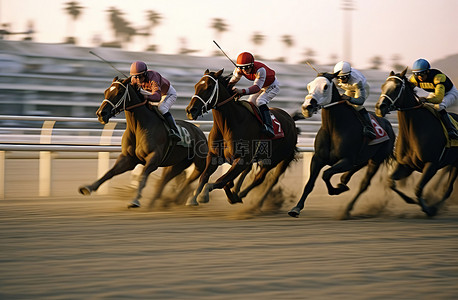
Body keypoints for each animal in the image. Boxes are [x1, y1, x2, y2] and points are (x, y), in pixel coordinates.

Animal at [78, 77, 208, 209]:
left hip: (199, 162)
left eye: (119, 92)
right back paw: (160, 203)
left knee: (193, 177)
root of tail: (199, 131)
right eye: (106, 91)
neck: (139, 126)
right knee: (164, 180)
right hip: (177, 163)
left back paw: (187, 199)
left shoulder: (153, 158)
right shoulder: (128, 158)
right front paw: (88, 188)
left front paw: (135, 200)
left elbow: (143, 176)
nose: (101, 114)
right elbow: (110, 172)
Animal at [184, 69, 298, 211]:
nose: (190, 110)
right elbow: (205, 177)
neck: (230, 123)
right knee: (251, 173)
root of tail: (291, 121)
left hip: (277, 158)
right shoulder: (215, 156)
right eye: (196, 86)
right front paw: (193, 198)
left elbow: (221, 180)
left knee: (263, 178)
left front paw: (205, 194)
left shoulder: (242, 159)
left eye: (209, 87)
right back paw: (238, 194)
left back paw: (252, 201)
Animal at [288, 72, 396, 218]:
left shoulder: (346, 160)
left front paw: (336, 190)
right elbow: (309, 183)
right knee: (359, 166)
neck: (333, 128)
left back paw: (347, 209)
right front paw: (296, 208)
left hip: (377, 159)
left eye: (325, 86)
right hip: (366, 156)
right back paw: (344, 179)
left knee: (364, 183)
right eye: (309, 85)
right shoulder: (318, 159)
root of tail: (388, 124)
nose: (306, 108)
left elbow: (326, 174)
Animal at [376, 68, 458, 216]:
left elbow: (418, 189)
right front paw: (410, 200)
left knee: (448, 188)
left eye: (397, 88)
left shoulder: (431, 165)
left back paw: (436, 206)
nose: (380, 107)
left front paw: (429, 209)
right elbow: (390, 182)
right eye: (383, 86)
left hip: (456, 163)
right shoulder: (406, 166)